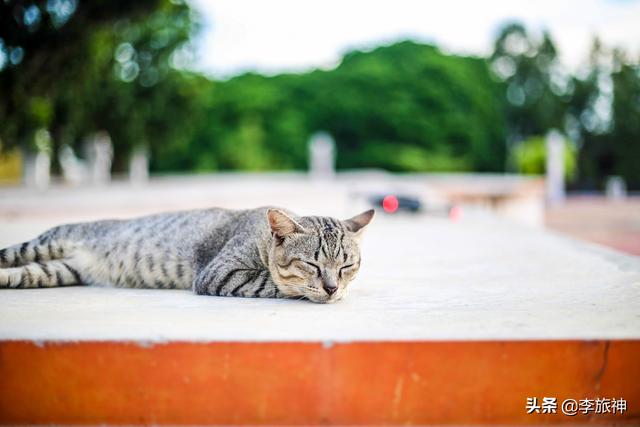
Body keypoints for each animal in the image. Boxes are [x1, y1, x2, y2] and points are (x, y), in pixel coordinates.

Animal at [0, 208, 376, 304]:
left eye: (346, 265)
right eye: (311, 264)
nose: (332, 287)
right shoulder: (219, 271)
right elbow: (272, 283)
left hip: (54, 271)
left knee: (19, 274)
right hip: (43, 244)